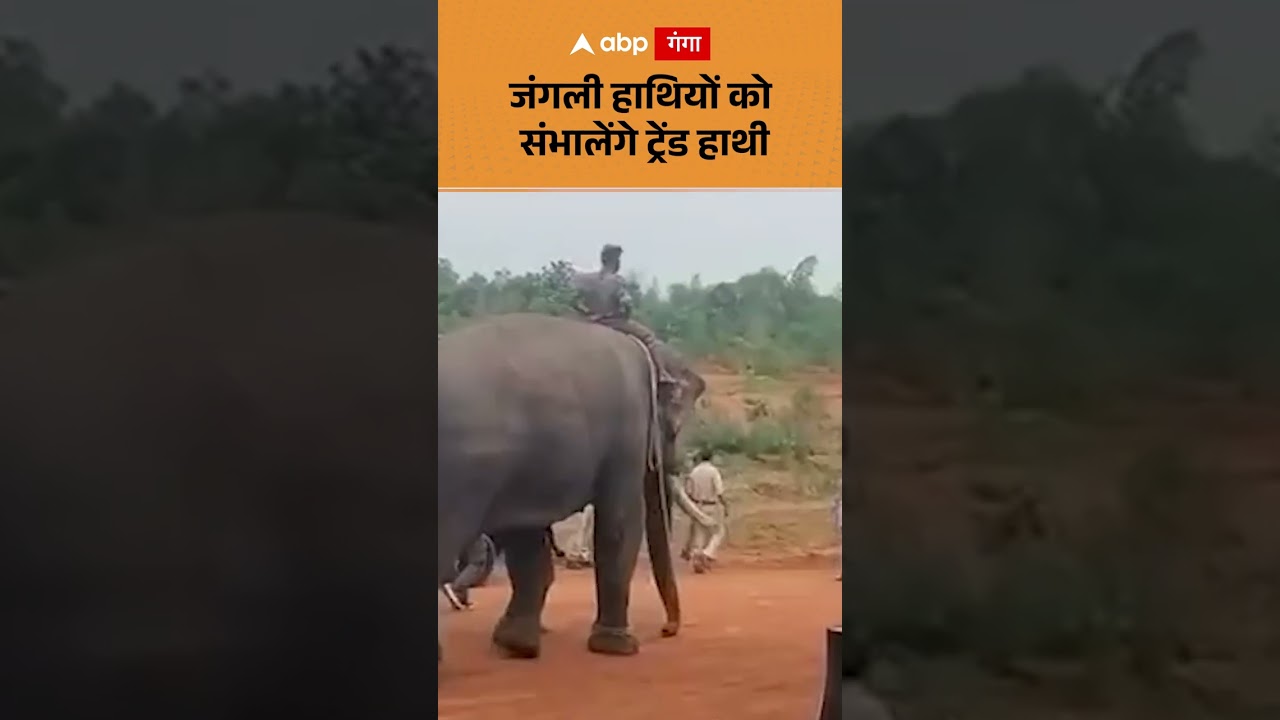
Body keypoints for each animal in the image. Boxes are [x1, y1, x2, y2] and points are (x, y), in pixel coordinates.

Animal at [437, 312, 714, 661]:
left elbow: (528, 541)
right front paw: (619, 647)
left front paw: (517, 645)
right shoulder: (628, 427)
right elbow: (620, 522)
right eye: (673, 428)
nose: (666, 631)